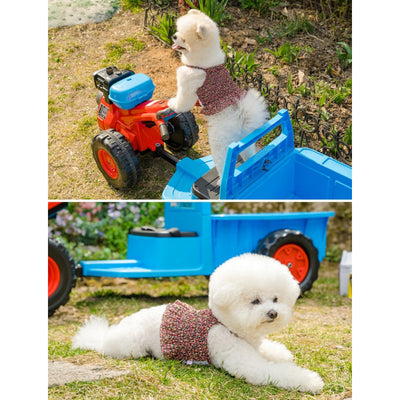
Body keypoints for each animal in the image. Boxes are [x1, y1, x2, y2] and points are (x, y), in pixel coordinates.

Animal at [72, 255, 324, 392]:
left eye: (276, 299)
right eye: (255, 301)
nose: (273, 313)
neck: (227, 325)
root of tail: (106, 336)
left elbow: (270, 351)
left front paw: (280, 352)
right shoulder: (248, 364)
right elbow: (274, 371)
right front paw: (310, 380)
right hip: (131, 347)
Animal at [166, 10, 268, 177]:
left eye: (184, 39)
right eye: (178, 31)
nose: (174, 36)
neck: (205, 62)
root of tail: (242, 119)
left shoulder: (188, 83)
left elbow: (182, 102)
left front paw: (173, 104)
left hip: (219, 143)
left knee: (222, 163)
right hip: (245, 140)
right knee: (248, 153)